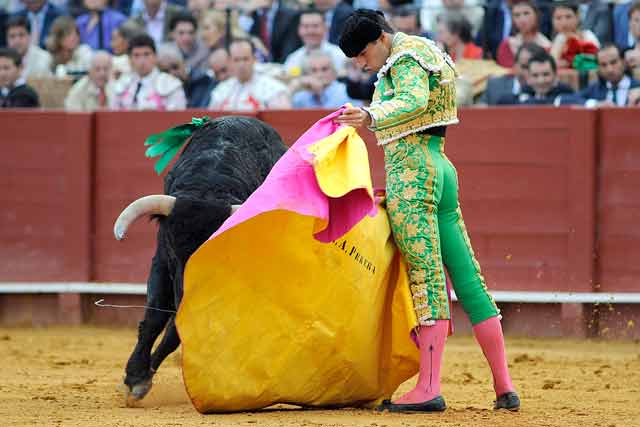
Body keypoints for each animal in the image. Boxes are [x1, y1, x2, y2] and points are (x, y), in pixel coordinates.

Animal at [113, 116, 288, 402]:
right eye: (175, 252)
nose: (186, 296)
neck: (208, 188)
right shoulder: (162, 262)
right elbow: (154, 319)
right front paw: (136, 376)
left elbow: (177, 329)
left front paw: (140, 377)